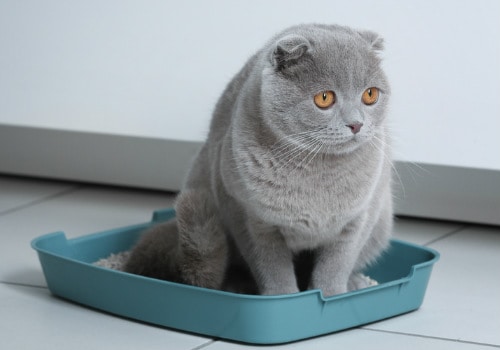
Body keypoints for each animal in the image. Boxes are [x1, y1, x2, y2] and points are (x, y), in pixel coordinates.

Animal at [124, 22, 390, 296]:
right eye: (324, 98)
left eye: (370, 95)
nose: (357, 124)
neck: (318, 171)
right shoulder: (249, 218)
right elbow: (272, 267)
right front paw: (284, 298)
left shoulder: (359, 219)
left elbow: (336, 266)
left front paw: (332, 295)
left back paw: (356, 283)